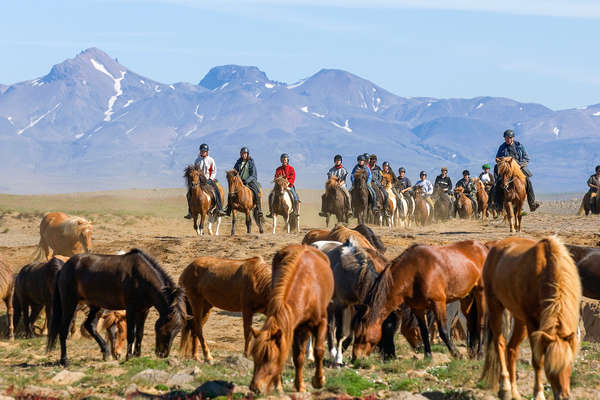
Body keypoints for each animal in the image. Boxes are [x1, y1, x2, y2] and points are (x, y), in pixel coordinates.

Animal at [48, 248, 186, 368]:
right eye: (166, 330)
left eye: (177, 331)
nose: (163, 354)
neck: (142, 278)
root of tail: (64, 268)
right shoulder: (131, 309)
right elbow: (131, 334)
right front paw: (129, 356)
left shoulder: (143, 311)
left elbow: (140, 334)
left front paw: (137, 355)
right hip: (70, 304)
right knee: (63, 330)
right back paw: (64, 360)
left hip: (96, 306)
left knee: (90, 325)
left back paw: (106, 352)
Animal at [247, 244, 332, 394]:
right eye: (255, 357)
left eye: (270, 358)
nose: (255, 388)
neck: (308, 289)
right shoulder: (294, 327)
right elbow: (297, 357)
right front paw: (296, 385)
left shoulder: (321, 322)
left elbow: (319, 351)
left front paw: (318, 381)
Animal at [352, 241, 488, 360]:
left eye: (361, 335)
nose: (355, 358)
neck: (414, 272)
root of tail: (484, 248)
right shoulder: (418, 308)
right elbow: (424, 331)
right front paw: (428, 356)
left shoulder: (439, 303)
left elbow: (443, 331)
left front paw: (456, 354)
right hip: (467, 298)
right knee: (471, 323)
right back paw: (471, 353)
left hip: (480, 294)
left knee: (481, 323)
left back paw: (480, 354)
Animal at [478, 238, 580, 400]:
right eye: (550, 368)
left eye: (570, 364)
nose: (564, 396)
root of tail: (495, 246)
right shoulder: (533, 324)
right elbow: (537, 361)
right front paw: (538, 394)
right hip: (495, 307)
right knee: (500, 343)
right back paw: (505, 388)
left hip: (520, 321)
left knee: (511, 349)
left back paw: (514, 392)